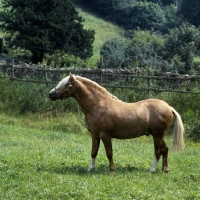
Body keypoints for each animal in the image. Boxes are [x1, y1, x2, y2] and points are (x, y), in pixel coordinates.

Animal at [48, 72, 184, 173]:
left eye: (67, 84)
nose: (51, 94)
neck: (97, 104)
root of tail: (168, 107)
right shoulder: (94, 135)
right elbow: (93, 152)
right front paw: (90, 168)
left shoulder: (105, 135)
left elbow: (109, 153)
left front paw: (112, 169)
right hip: (159, 135)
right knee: (165, 150)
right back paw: (164, 169)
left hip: (157, 135)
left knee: (157, 152)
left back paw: (152, 170)